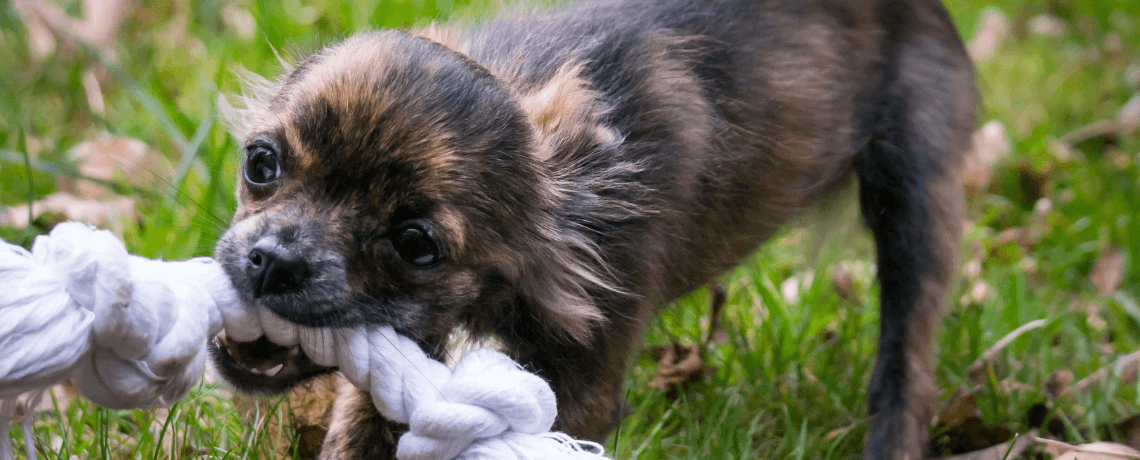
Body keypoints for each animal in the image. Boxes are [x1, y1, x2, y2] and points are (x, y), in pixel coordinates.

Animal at [209, 0, 975, 459]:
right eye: (260, 162)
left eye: (416, 244)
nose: (273, 261)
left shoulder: (580, 382)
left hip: (915, 202)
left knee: (905, 371)